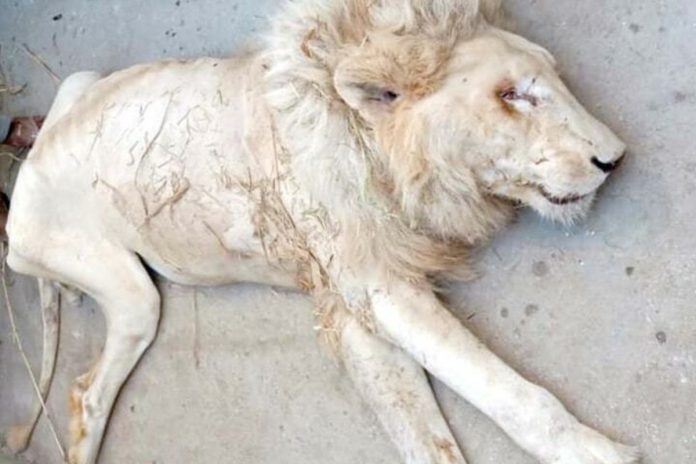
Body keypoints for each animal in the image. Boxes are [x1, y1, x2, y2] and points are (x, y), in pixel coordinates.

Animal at [4, 0, 637, 463]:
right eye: (512, 95)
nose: (615, 158)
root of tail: (28, 164)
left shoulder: (356, 306)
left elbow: (425, 437)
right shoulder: (379, 289)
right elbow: (508, 393)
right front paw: (598, 453)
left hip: (81, 79)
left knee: (85, 392)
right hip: (131, 291)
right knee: (87, 390)